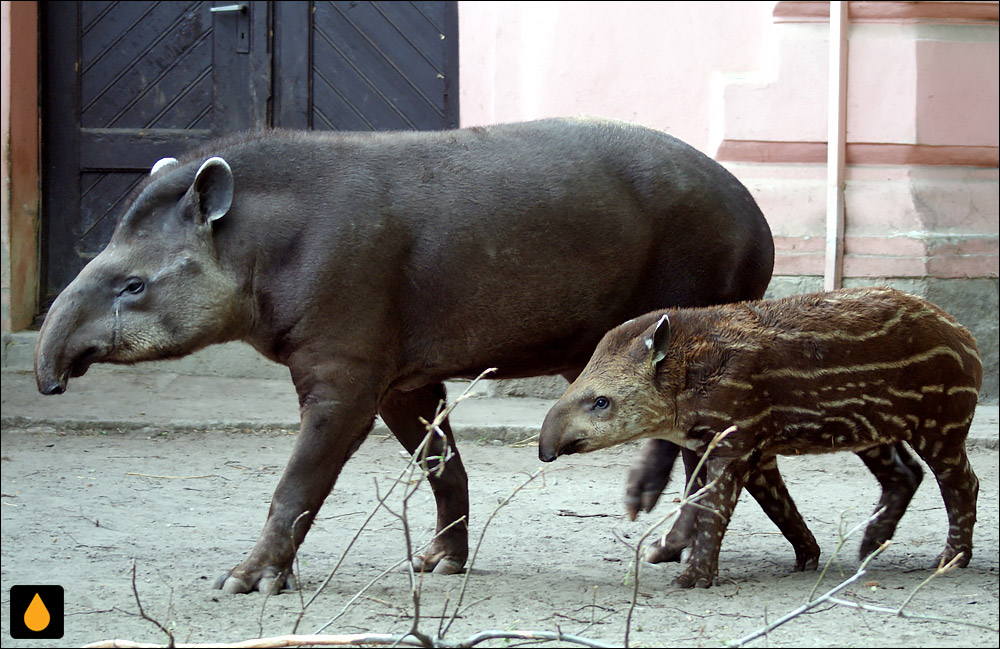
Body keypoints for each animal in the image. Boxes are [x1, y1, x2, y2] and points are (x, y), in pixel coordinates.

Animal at [540, 288, 984, 588]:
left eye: (601, 402)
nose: (545, 449)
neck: (685, 373)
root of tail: (967, 336)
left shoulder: (736, 438)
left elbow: (715, 507)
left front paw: (693, 577)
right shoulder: (746, 447)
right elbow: (773, 506)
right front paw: (808, 556)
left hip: (941, 421)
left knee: (961, 482)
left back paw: (951, 558)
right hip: (869, 428)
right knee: (904, 473)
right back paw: (869, 545)